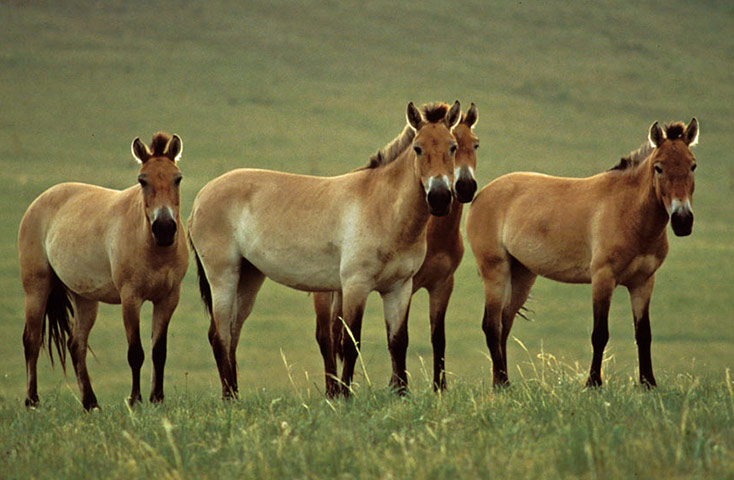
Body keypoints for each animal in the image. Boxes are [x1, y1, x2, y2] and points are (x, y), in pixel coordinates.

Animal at [19, 132, 189, 410]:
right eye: (142, 180)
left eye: (178, 178)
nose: (164, 228)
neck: (153, 247)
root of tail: (40, 201)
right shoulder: (130, 298)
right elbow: (136, 352)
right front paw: (135, 400)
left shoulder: (168, 298)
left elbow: (158, 351)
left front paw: (157, 399)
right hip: (36, 288)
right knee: (31, 341)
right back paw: (32, 401)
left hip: (84, 298)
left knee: (76, 345)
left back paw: (91, 403)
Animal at [188, 101, 462, 398]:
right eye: (417, 148)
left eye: (452, 147)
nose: (439, 197)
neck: (382, 206)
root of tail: (201, 198)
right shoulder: (355, 285)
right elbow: (350, 342)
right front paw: (345, 395)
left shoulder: (399, 288)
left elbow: (398, 342)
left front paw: (401, 394)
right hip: (223, 276)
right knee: (219, 335)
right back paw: (229, 398)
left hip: (249, 277)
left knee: (232, 333)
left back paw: (235, 396)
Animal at [312, 103, 479, 392]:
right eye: (417, 148)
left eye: (475, 144)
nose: (464, 187)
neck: (434, 235)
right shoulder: (405, 285)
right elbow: (399, 337)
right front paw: (396, 385)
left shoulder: (442, 284)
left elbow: (437, 337)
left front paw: (439, 387)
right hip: (323, 293)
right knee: (325, 338)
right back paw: (333, 390)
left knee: (336, 334)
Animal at [466, 118, 699, 388]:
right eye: (658, 168)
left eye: (693, 165)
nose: (682, 221)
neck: (628, 211)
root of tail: (481, 195)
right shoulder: (603, 279)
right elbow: (600, 334)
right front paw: (593, 383)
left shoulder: (643, 282)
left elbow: (644, 334)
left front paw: (648, 383)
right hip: (496, 271)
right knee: (492, 326)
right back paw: (502, 383)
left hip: (522, 275)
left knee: (504, 324)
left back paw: (501, 381)